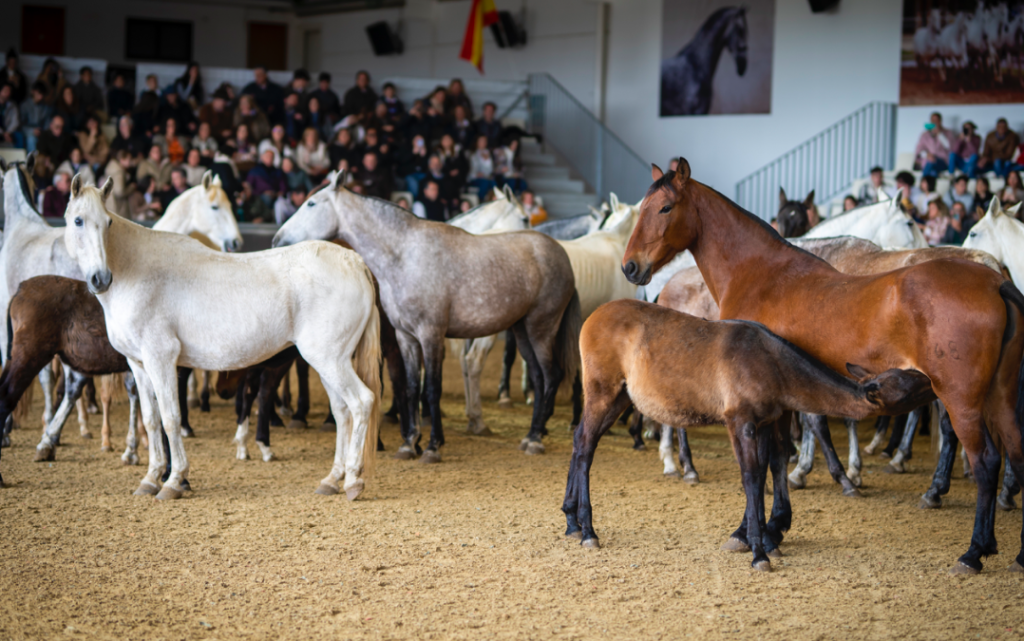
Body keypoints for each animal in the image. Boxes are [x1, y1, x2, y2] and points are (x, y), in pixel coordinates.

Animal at [63, 176, 381, 501]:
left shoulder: (161, 359)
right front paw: (150, 479)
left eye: (108, 222)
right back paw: (332, 479)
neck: (136, 271)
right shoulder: (138, 364)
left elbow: (171, 417)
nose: (100, 279)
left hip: (330, 360)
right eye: (78, 221)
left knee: (361, 402)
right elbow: (151, 420)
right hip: (328, 362)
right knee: (342, 412)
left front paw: (173, 481)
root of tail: (354, 261)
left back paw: (353, 480)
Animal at [273, 171, 580, 460]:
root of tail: (561, 254)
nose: (277, 239)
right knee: (539, 378)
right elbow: (410, 387)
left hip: (541, 328)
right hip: (522, 330)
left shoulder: (431, 334)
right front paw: (409, 443)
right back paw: (529, 436)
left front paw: (432, 446)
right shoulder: (405, 337)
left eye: (311, 203)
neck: (405, 256)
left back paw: (536, 439)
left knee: (551, 375)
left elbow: (431, 389)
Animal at [563, 299, 932, 569]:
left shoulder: (767, 421)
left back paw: (571, 521)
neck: (770, 362)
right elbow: (752, 476)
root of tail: (593, 316)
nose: (935, 381)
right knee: (585, 445)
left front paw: (768, 537)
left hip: (620, 397)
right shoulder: (739, 421)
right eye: (912, 384)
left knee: (581, 441)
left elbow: (773, 466)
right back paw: (588, 530)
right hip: (602, 391)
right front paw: (758, 550)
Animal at [622, 159, 1024, 575]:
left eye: (665, 208)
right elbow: (779, 456)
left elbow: (766, 460)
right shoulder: (779, 399)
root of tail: (995, 281)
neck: (762, 276)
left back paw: (973, 551)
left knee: (986, 462)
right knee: (1015, 451)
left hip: (962, 401)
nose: (631, 267)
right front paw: (776, 527)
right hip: (1000, 398)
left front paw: (754, 533)